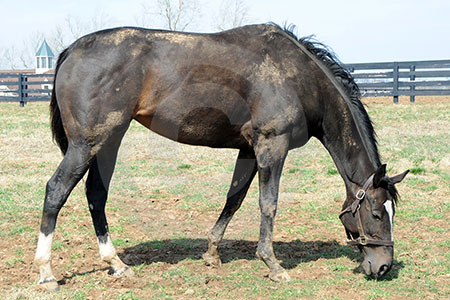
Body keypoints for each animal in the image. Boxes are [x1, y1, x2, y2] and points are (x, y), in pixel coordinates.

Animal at [34, 22, 408, 290]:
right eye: (376, 213)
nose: (383, 266)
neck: (297, 77)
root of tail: (71, 50)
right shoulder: (272, 145)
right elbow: (268, 203)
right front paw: (273, 265)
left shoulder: (248, 150)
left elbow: (234, 198)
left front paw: (212, 253)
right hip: (87, 144)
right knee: (56, 190)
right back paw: (46, 272)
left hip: (108, 143)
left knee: (95, 195)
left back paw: (115, 263)